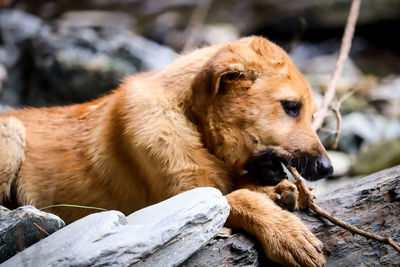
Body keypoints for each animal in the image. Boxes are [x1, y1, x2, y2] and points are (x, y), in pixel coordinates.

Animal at [0, 36, 332, 266]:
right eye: (290, 107)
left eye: (311, 114)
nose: (327, 169)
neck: (190, 121)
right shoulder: (184, 198)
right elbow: (238, 198)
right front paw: (286, 233)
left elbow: (244, 188)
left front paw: (281, 192)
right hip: (12, 135)